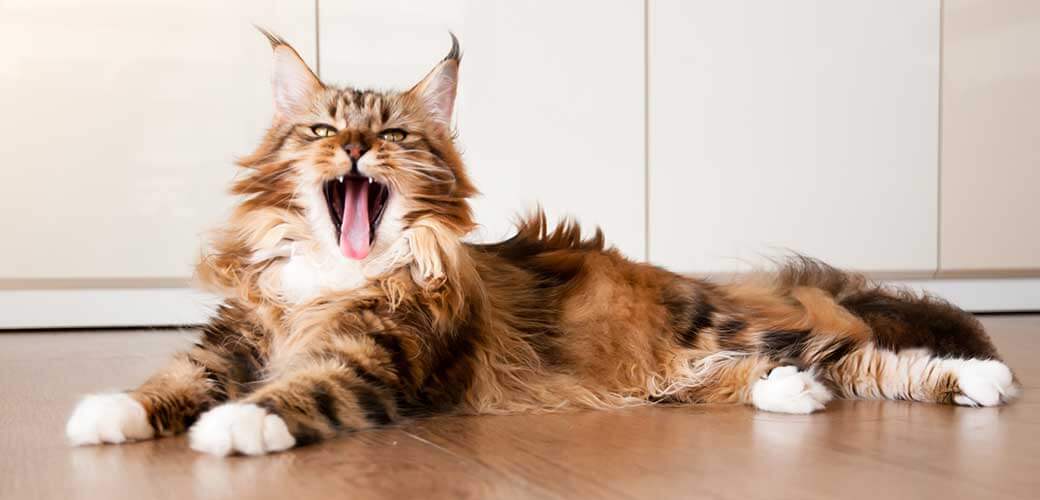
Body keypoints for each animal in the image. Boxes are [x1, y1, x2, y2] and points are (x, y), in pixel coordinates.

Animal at [62, 32, 1015, 455]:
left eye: (394, 135)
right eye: (323, 130)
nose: (357, 149)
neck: (334, 278)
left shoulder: (369, 363)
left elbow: (289, 394)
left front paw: (231, 427)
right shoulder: (231, 340)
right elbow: (169, 382)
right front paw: (107, 413)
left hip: (729, 329)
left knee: (867, 359)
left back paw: (979, 379)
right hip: (681, 369)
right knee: (767, 376)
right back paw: (792, 397)